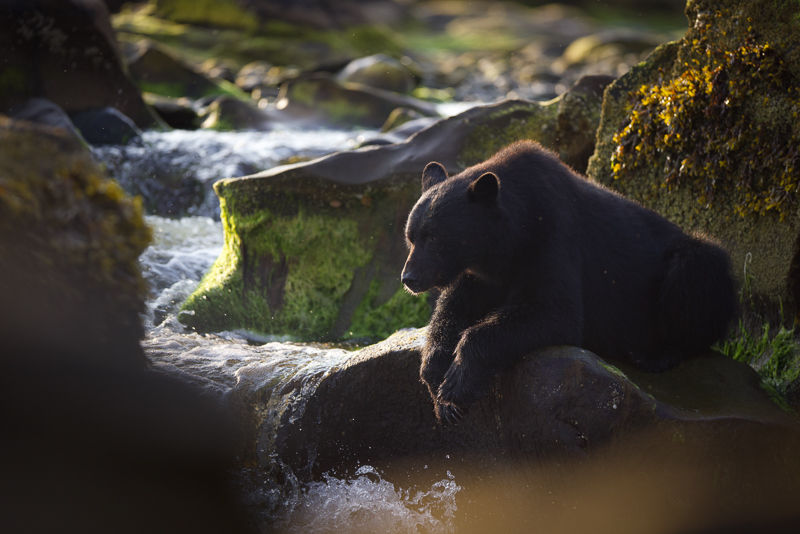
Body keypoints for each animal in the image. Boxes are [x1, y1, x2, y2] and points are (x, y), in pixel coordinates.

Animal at [401, 140, 737, 424]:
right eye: (411, 237)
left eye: (435, 238)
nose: (409, 278)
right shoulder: (480, 273)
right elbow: (453, 309)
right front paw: (438, 383)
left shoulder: (553, 237)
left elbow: (555, 312)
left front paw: (456, 384)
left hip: (692, 266)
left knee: (695, 277)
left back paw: (656, 355)